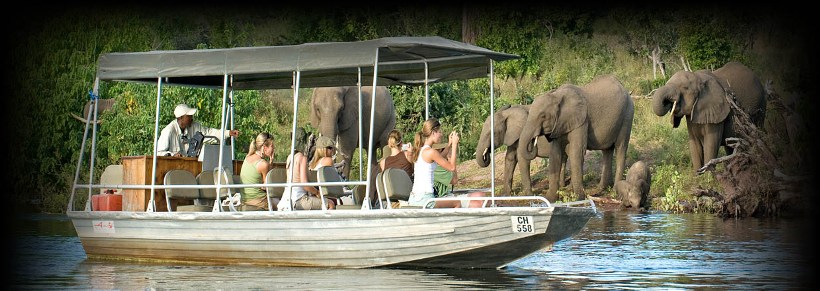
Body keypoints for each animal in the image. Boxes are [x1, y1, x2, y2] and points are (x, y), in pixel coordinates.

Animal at [520, 75, 636, 203]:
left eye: (543, 116)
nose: (534, 139)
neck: (557, 95)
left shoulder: (581, 121)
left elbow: (576, 152)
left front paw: (578, 198)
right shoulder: (560, 124)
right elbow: (555, 154)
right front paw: (549, 199)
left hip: (628, 114)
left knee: (621, 147)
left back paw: (615, 190)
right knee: (607, 150)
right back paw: (601, 188)